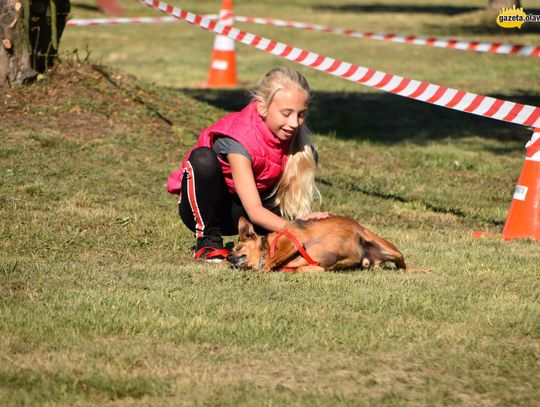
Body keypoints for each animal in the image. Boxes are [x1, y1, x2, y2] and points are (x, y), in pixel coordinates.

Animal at [226, 217, 408, 274]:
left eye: (237, 248)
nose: (227, 257)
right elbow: (301, 269)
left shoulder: (292, 243)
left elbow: (272, 260)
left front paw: (263, 269)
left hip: (386, 247)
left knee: (402, 261)